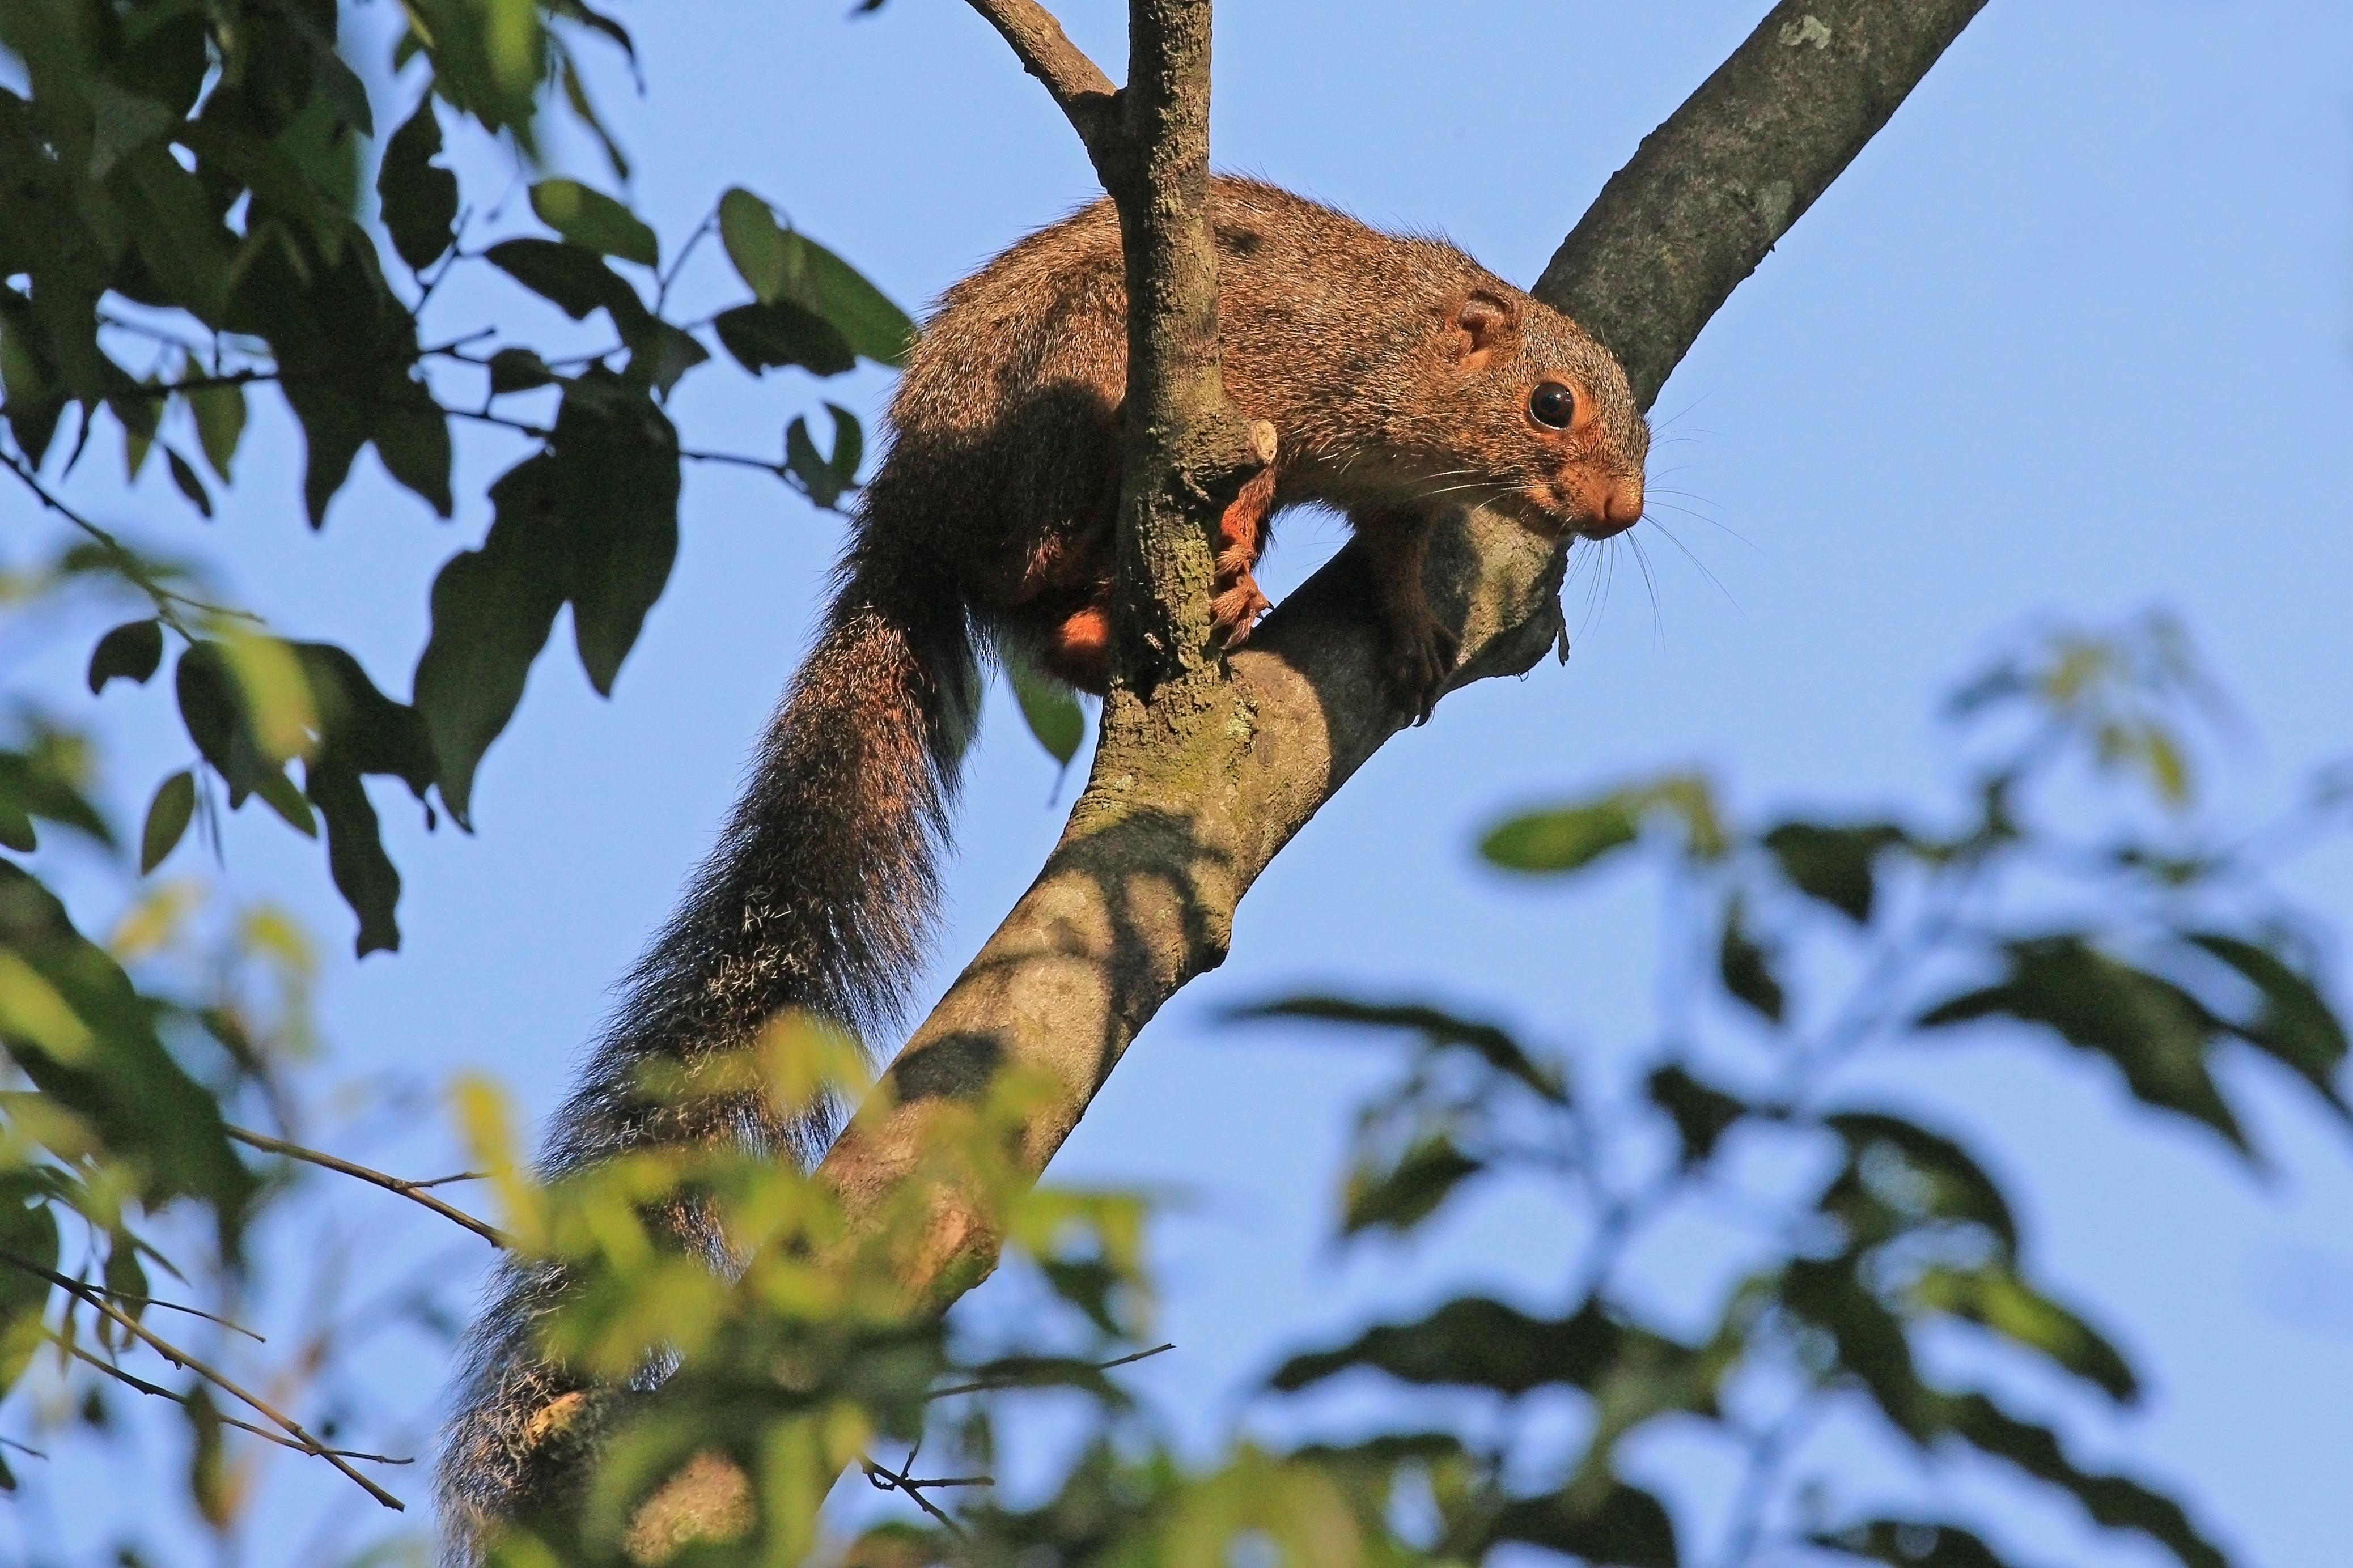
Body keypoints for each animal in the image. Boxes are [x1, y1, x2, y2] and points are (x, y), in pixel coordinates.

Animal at [437, 176, 1648, 1551]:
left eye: (1636, 424)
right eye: (1549, 405)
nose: (1620, 510)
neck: (1387, 349)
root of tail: (905, 504)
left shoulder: (1395, 491)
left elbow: (1396, 549)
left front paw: (1407, 627)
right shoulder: (1259, 346)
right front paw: (1259, 513)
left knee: (1032, 617)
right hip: (1063, 396)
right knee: (1024, 555)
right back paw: (1203, 558)